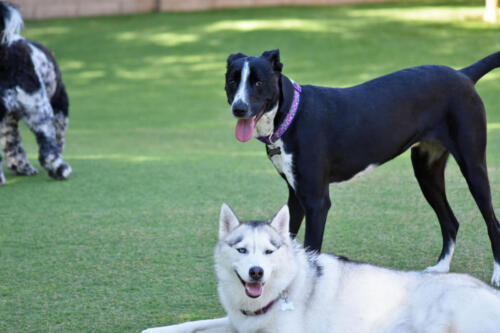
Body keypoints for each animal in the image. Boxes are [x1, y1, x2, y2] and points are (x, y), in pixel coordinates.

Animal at [0, 1, 71, 184]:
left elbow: (13, 145)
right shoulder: (59, 105)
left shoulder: (7, 121)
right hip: (39, 109)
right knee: (48, 150)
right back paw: (61, 170)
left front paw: (21, 167)